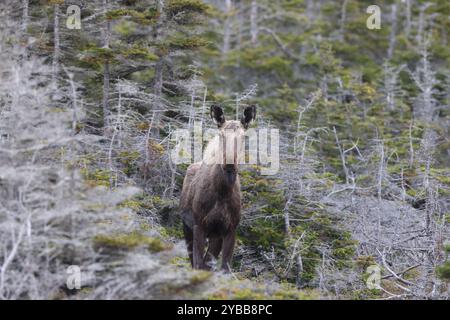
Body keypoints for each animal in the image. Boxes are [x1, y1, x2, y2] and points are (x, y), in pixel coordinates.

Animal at [179, 104, 256, 272]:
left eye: (243, 137)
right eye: (221, 135)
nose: (229, 164)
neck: (222, 193)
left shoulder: (229, 230)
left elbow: (224, 268)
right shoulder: (199, 226)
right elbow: (198, 265)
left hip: (214, 235)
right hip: (187, 227)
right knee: (194, 262)